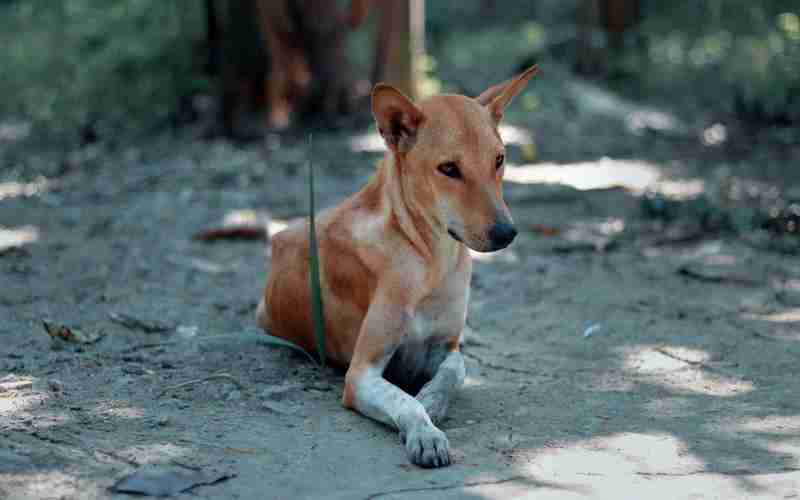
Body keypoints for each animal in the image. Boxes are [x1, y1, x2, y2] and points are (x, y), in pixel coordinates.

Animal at [260, 64, 540, 466]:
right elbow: (403, 400)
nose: (507, 233)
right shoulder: (361, 373)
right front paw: (425, 431)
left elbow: (454, 371)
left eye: (499, 159)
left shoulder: (447, 346)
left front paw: (432, 400)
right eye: (448, 168)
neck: (432, 259)